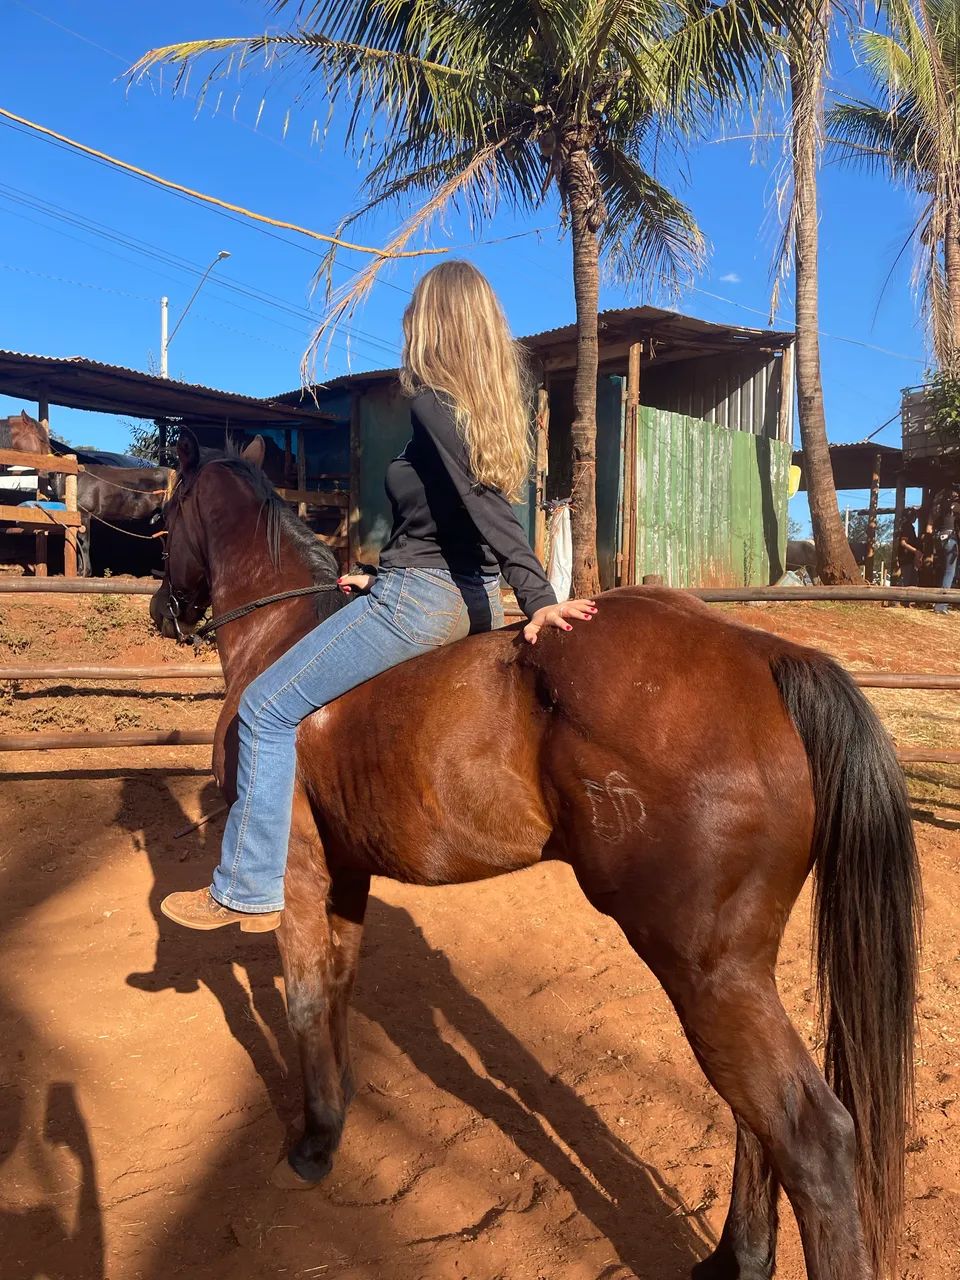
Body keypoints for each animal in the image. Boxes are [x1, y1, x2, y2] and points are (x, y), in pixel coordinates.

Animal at [150, 433, 921, 1280]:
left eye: (166, 512)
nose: (161, 608)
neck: (284, 636)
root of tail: (763, 653)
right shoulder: (345, 873)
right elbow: (340, 987)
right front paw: (341, 1107)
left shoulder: (295, 871)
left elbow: (305, 997)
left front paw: (316, 1140)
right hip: (738, 975)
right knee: (757, 1121)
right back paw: (736, 1260)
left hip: (706, 971)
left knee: (810, 1138)